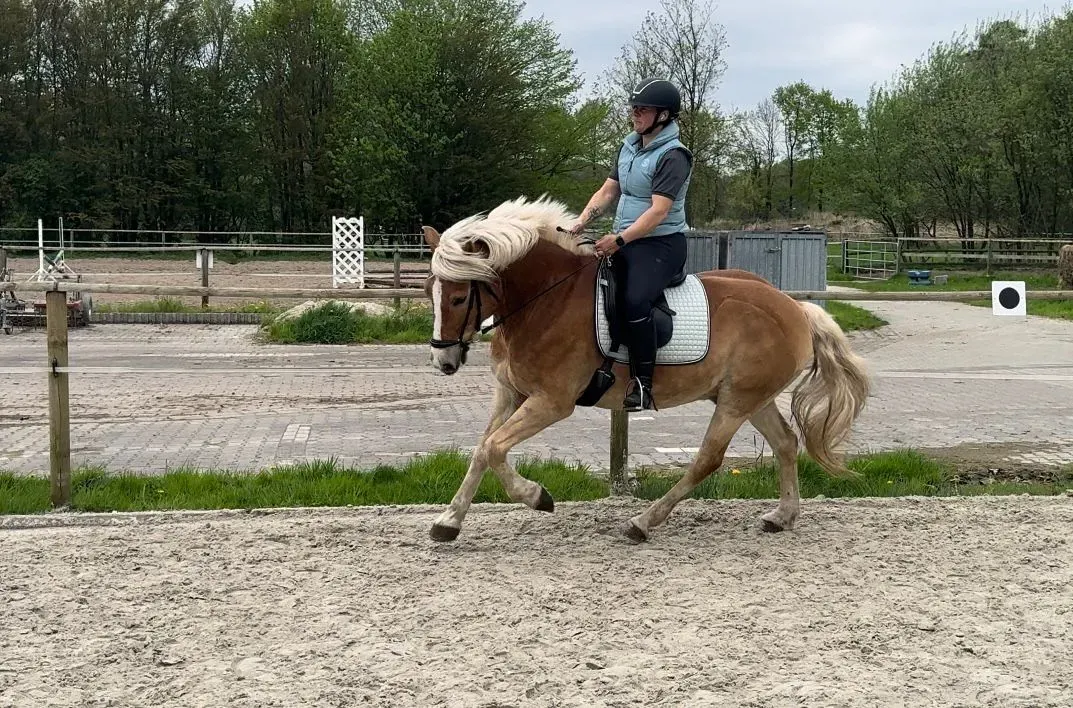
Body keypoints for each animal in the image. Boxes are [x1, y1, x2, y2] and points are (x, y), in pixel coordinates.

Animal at [421, 195, 871, 543]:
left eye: (458, 298)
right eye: (429, 291)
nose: (444, 362)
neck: (546, 299)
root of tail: (794, 306)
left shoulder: (551, 402)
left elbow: (495, 448)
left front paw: (537, 497)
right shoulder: (510, 393)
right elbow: (482, 450)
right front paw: (448, 522)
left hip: (737, 401)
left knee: (708, 459)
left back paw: (642, 522)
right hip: (750, 398)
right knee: (786, 444)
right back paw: (782, 516)